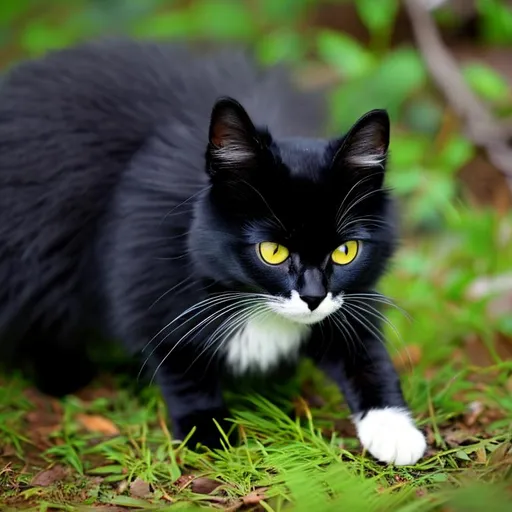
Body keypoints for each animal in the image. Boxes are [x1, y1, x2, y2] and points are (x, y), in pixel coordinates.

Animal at [0, 38, 424, 466]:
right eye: (272, 251)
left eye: (345, 251)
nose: (312, 297)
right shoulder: (143, 269)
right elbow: (180, 359)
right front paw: (206, 428)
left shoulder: (354, 296)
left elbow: (365, 352)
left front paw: (393, 425)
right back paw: (61, 372)